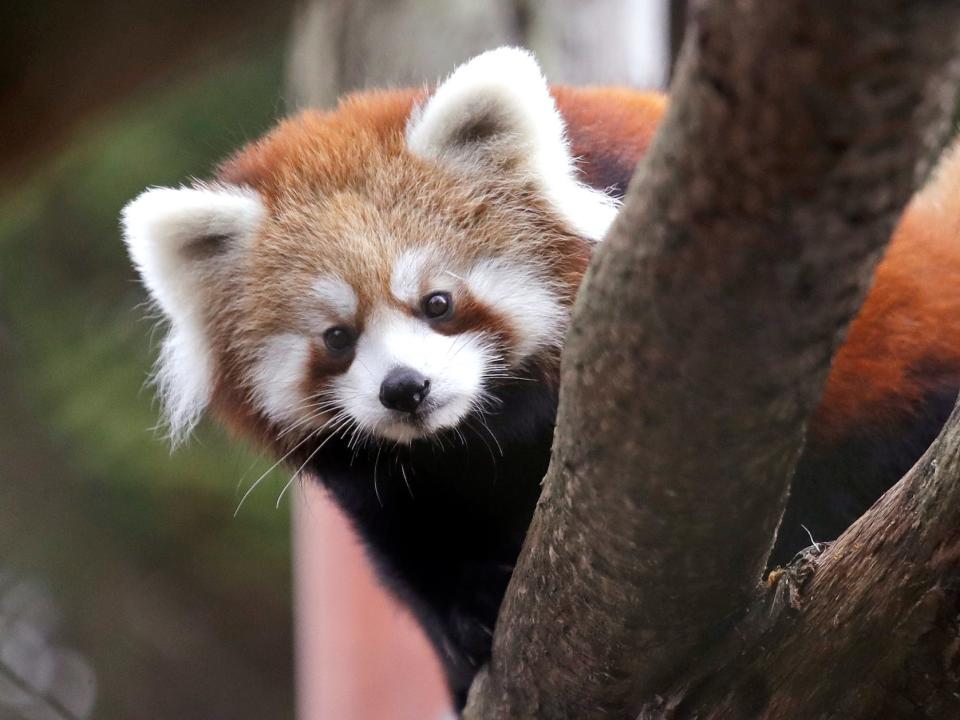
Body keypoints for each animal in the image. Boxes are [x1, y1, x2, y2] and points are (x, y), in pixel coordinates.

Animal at [120, 47, 960, 704]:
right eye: (337, 337)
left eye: (438, 302)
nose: (405, 389)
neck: (483, 437)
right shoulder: (385, 485)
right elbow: (414, 551)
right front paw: (469, 616)